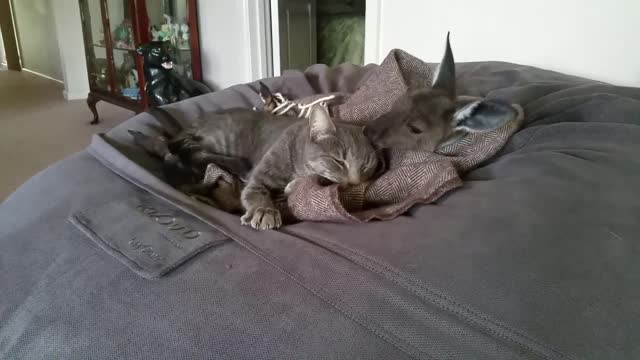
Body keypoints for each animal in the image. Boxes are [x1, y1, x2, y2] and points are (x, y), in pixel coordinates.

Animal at [132, 104, 378, 229]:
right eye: (339, 161)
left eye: (367, 165)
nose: (355, 182)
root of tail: (194, 123)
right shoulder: (260, 176)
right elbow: (257, 191)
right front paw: (264, 211)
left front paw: (295, 186)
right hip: (218, 140)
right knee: (184, 152)